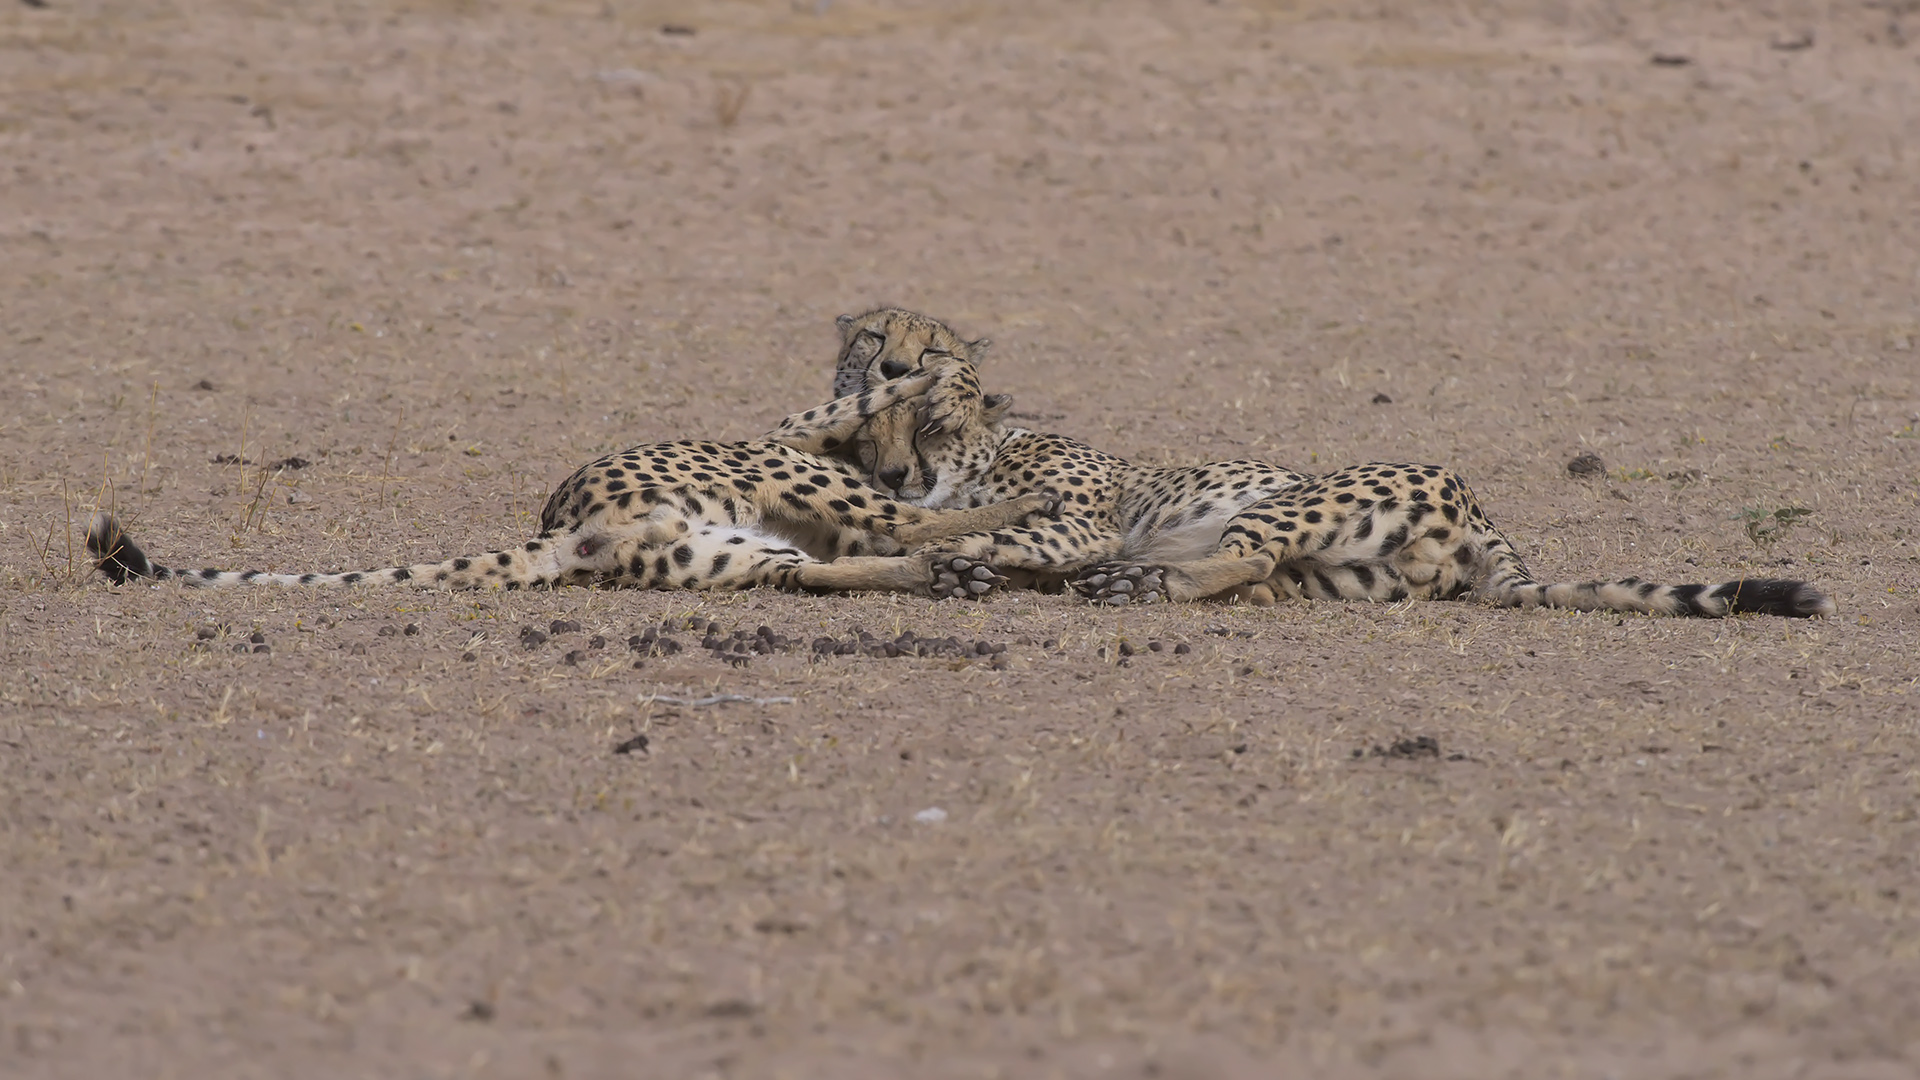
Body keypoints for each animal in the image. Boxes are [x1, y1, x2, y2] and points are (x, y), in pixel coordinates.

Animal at [833, 327, 1835, 619]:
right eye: (863, 432)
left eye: (929, 416)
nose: (896, 474)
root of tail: (1480, 507)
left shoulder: (1079, 516)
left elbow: (993, 530)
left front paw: (947, 554)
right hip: (1346, 572)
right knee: (1257, 579)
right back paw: (1142, 581)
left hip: (1299, 501)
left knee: (1242, 555)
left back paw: (1132, 581)